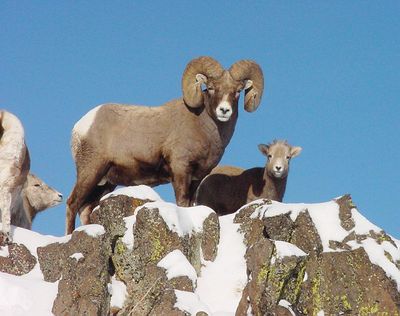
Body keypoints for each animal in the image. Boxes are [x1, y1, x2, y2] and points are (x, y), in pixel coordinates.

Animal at [67, 56, 264, 235]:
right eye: (211, 88)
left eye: (237, 91)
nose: (224, 110)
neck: (203, 127)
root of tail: (80, 126)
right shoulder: (180, 170)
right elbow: (182, 203)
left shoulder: (196, 178)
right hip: (90, 171)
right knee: (72, 203)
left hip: (105, 183)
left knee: (85, 209)